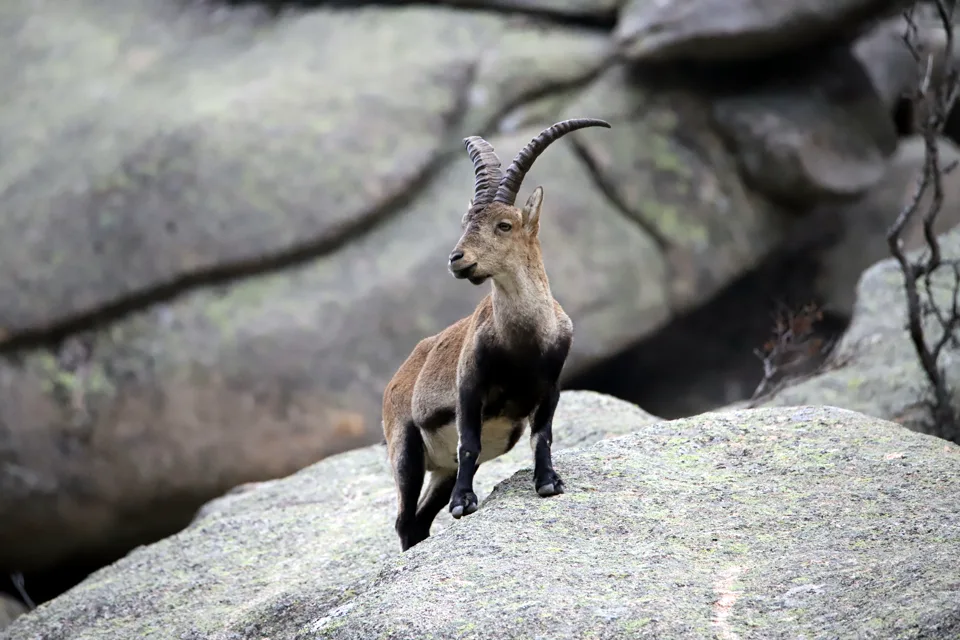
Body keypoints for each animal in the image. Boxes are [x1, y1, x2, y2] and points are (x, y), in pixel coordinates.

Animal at [381, 118, 611, 551]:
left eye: (504, 225)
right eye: (465, 224)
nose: (457, 259)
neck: (522, 342)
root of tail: (397, 376)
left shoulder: (550, 385)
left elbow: (543, 436)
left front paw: (548, 482)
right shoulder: (469, 385)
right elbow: (469, 442)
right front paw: (463, 504)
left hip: (440, 469)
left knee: (419, 520)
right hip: (404, 445)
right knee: (404, 519)